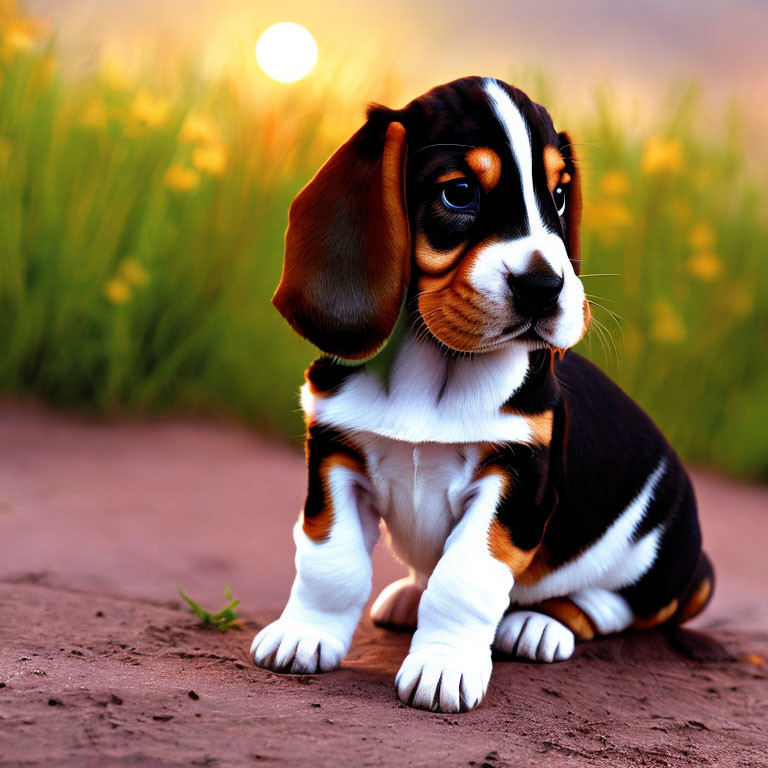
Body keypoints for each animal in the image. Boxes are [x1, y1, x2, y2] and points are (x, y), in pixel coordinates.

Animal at [250, 76, 712, 712]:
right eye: (459, 193)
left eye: (559, 196)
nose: (546, 287)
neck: (439, 365)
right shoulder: (335, 457)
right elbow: (331, 561)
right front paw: (306, 633)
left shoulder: (515, 480)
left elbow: (464, 578)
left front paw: (443, 666)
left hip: (656, 556)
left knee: (613, 605)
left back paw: (541, 624)